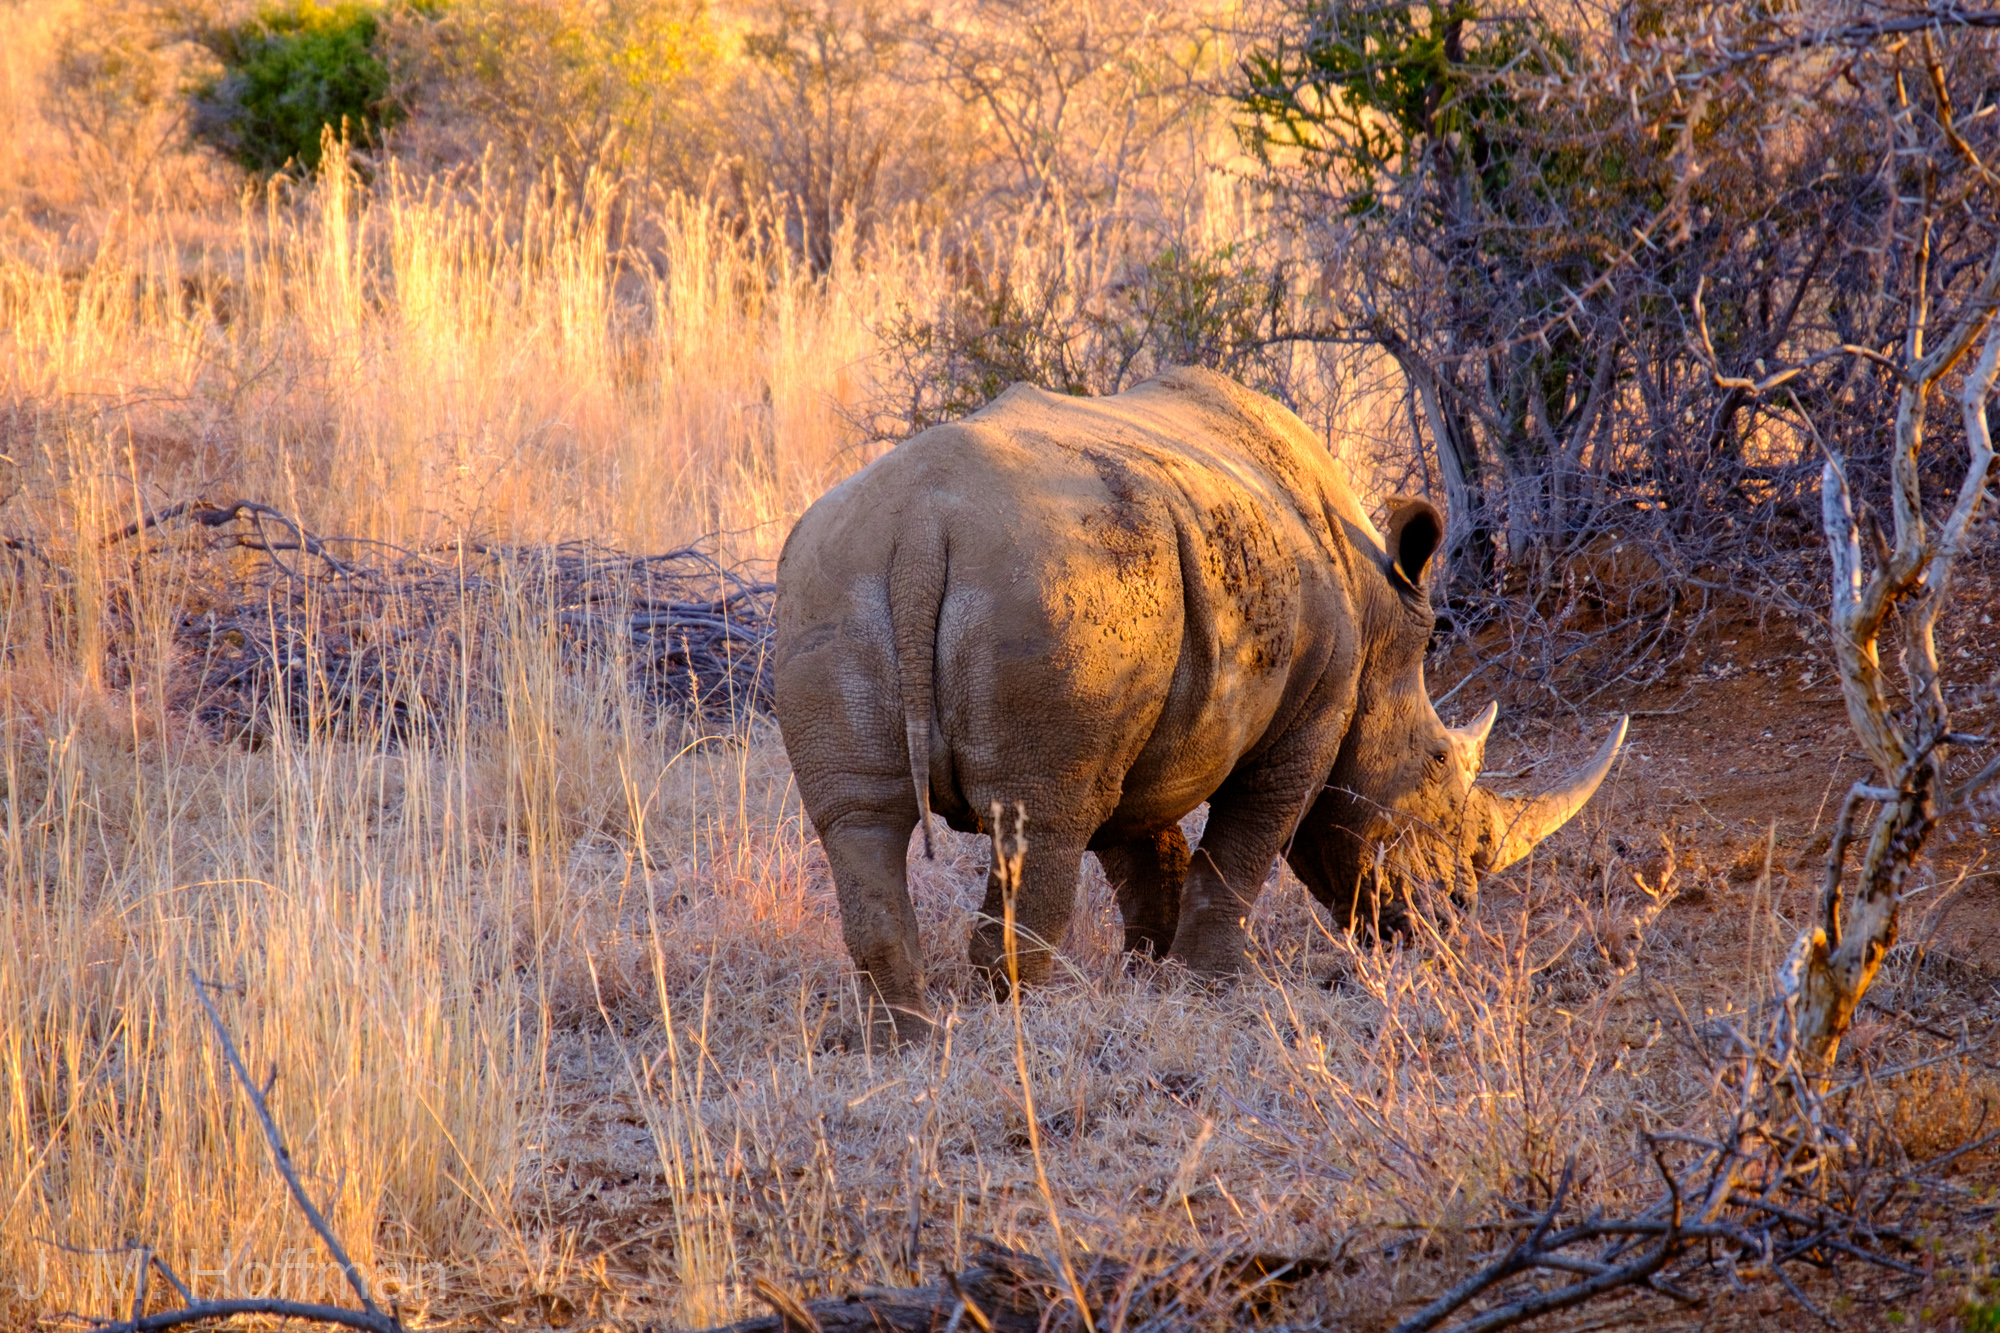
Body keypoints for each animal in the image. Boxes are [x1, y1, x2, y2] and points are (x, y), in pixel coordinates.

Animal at [768, 364, 1624, 1040]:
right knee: (1041, 820)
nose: (1450, 918)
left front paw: (1150, 970)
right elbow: (1245, 844)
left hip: (833, 580)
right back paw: (1017, 1025)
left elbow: (1143, 845)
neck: (1382, 617)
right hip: (1050, 588)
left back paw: (907, 1038)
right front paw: (1211, 984)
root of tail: (921, 527)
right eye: (1441, 766)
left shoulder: (1146, 719)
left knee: (861, 822)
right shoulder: (1310, 715)